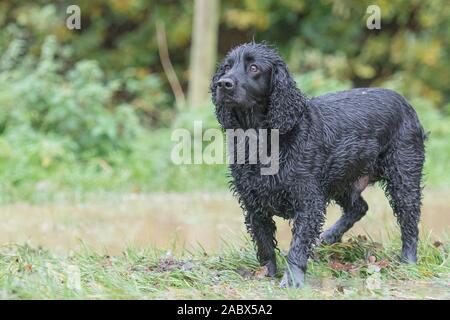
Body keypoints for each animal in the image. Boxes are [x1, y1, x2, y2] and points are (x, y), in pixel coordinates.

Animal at [209, 42, 428, 288]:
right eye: (226, 67)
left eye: (254, 67)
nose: (223, 83)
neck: (265, 139)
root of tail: (405, 101)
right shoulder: (254, 203)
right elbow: (264, 244)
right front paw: (267, 273)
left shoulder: (308, 201)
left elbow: (297, 246)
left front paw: (293, 279)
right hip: (343, 180)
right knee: (359, 207)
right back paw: (330, 236)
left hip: (403, 178)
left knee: (409, 222)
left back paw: (408, 261)